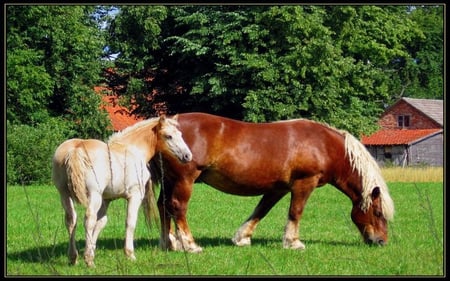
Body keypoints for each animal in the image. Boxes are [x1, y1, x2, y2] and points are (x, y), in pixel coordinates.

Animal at [51, 114, 192, 266]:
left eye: (180, 134)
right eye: (169, 136)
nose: (187, 156)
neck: (134, 150)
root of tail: (76, 149)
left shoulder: (106, 199)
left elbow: (101, 222)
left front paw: (92, 250)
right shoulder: (135, 195)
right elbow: (130, 222)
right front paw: (129, 254)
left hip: (64, 194)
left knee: (71, 220)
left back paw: (73, 257)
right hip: (93, 195)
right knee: (89, 219)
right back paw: (89, 261)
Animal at [151, 111, 394, 252]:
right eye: (378, 213)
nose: (381, 241)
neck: (324, 145)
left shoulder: (278, 188)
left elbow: (261, 210)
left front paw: (242, 238)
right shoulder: (304, 183)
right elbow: (295, 212)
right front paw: (293, 242)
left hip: (170, 180)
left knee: (163, 206)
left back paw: (168, 243)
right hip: (184, 180)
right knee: (177, 207)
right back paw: (190, 245)